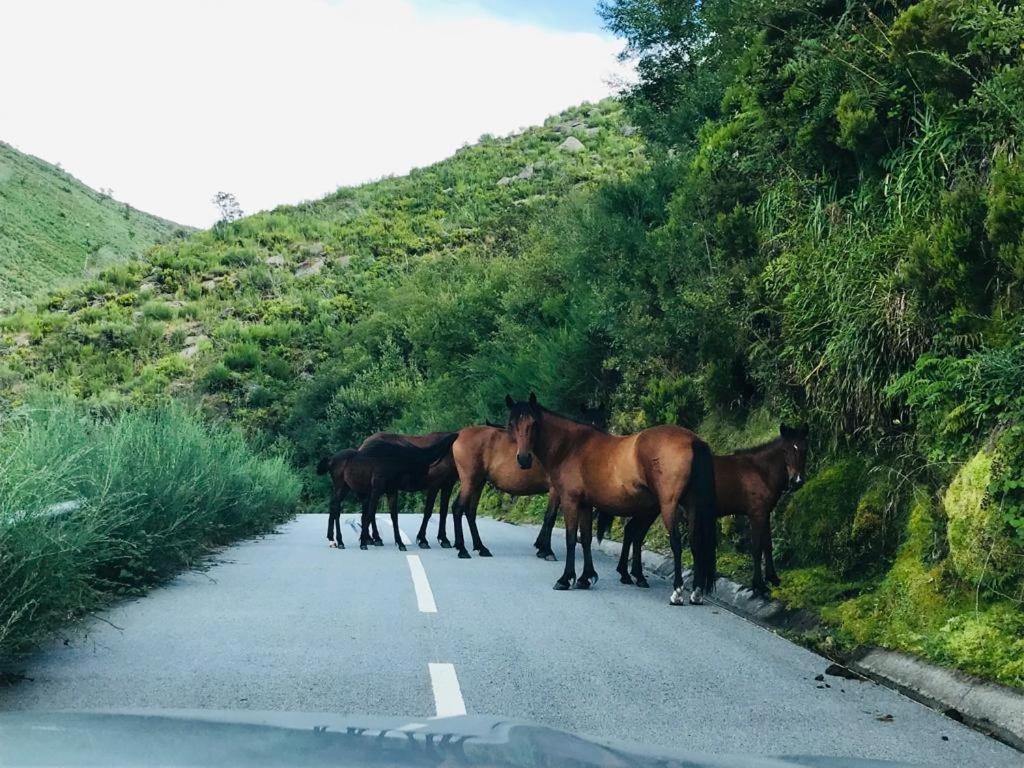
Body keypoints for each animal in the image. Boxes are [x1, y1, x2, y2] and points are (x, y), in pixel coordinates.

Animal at [313, 434, 454, 552]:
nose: (430, 477)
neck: (396, 462)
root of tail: (329, 461)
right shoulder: (376, 489)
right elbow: (370, 514)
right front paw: (364, 542)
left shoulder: (392, 490)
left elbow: (393, 516)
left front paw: (400, 543)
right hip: (341, 486)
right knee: (336, 508)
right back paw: (340, 541)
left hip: (345, 488)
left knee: (333, 506)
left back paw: (333, 540)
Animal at [505, 397, 716, 606]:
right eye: (512, 424)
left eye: (534, 424)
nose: (523, 459)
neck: (572, 447)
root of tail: (692, 440)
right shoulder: (585, 504)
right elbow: (586, 539)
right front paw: (585, 578)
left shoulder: (570, 500)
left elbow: (571, 538)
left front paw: (566, 579)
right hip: (691, 506)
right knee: (694, 542)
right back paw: (695, 593)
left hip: (668, 505)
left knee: (676, 543)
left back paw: (677, 592)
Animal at [598, 428, 806, 593]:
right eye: (785, 450)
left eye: (804, 450)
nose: (797, 481)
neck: (758, 470)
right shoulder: (756, 514)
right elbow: (757, 548)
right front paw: (759, 586)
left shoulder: (765, 514)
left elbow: (768, 546)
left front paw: (773, 578)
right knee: (634, 533)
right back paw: (630, 574)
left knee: (634, 533)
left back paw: (630, 574)